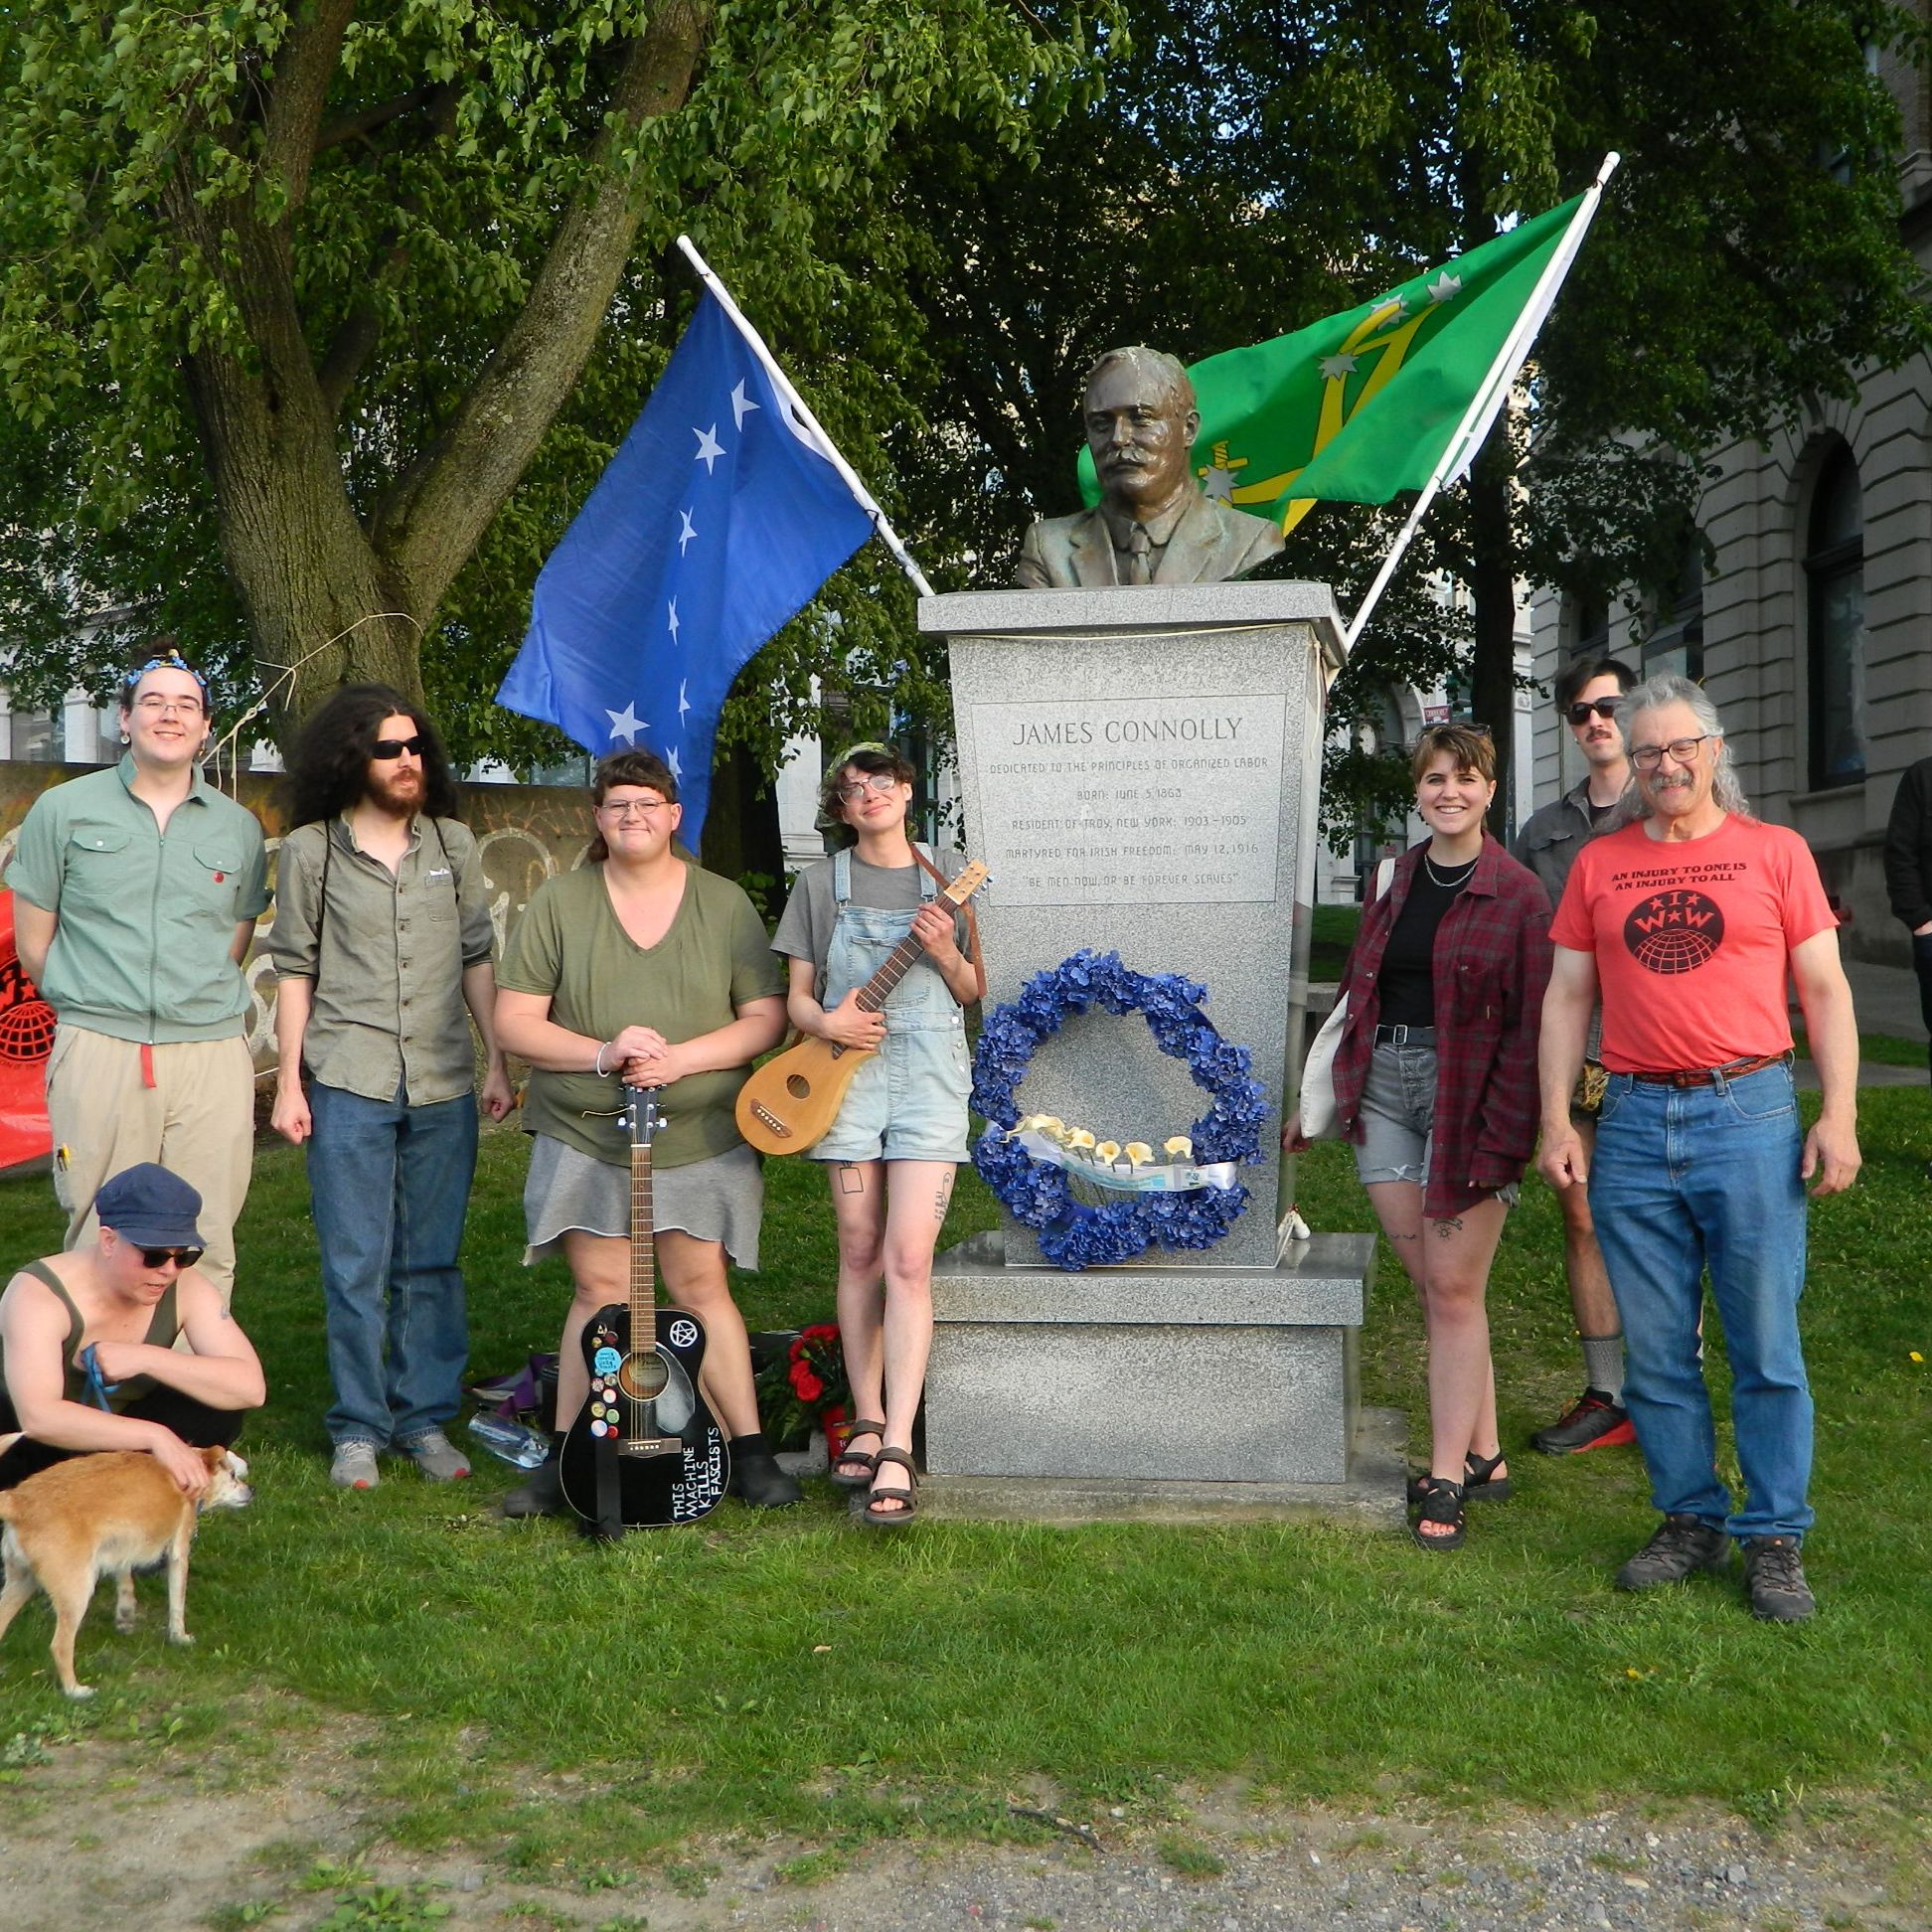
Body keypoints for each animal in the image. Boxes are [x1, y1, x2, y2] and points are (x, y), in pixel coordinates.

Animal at [0, 1445, 252, 1699]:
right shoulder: (178, 1554)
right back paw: (75, 1691)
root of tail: (17, 1502)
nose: (252, 1490)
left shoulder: (120, 1548)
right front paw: (179, 1637)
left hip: (21, 1584)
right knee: (60, 1646)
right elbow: (177, 1604)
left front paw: (125, 1612)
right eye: (232, 1475)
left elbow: (124, 1577)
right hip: (75, 1592)